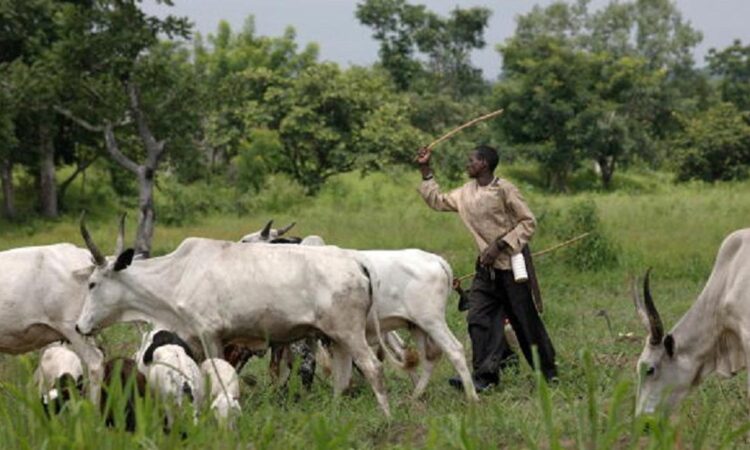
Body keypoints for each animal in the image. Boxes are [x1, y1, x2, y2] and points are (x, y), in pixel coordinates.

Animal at [76, 223, 394, 416]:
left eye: (92, 284)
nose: (79, 326)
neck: (178, 274)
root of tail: (356, 260)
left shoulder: (211, 335)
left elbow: (219, 373)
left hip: (350, 332)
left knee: (373, 367)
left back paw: (386, 415)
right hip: (336, 337)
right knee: (342, 376)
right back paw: (335, 412)